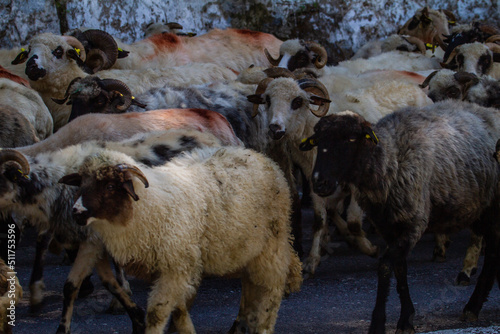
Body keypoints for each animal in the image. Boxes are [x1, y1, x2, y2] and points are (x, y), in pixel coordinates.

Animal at [0, 128, 228, 334]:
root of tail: (212, 138)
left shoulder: (93, 240)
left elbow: (79, 283)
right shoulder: (93, 241)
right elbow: (104, 283)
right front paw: (134, 317)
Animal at [58, 144, 300, 334]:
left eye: (109, 186)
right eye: (81, 184)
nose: (77, 212)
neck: (148, 207)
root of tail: (260, 156)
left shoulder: (175, 266)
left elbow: (157, 314)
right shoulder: (171, 268)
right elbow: (179, 311)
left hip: (272, 243)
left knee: (272, 288)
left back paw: (263, 326)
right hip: (245, 247)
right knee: (249, 283)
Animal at [298, 101, 500, 332]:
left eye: (350, 139)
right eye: (317, 141)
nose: (319, 183)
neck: (390, 159)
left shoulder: (414, 223)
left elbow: (386, 266)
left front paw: (379, 323)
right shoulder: (389, 226)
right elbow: (400, 269)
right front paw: (406, 318)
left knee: (492, 254)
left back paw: (473, 305)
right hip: (481, 213)